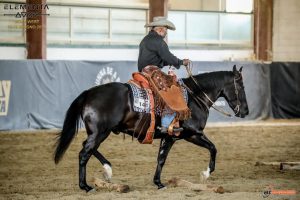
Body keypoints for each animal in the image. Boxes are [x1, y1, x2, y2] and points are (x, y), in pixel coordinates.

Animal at [53, 65, 248, 192]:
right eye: (241, 87)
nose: (245, 111)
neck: (195, 97)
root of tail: (88, 93)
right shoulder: (192, 134)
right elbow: (213, 148)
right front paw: (206, 174)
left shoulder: (171, 137)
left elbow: (161, 159)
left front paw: (158, 182)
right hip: (100, 132)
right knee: (84, 153)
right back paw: (85, 186)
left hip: (98, 133)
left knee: (87, 148)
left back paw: (107, 170)